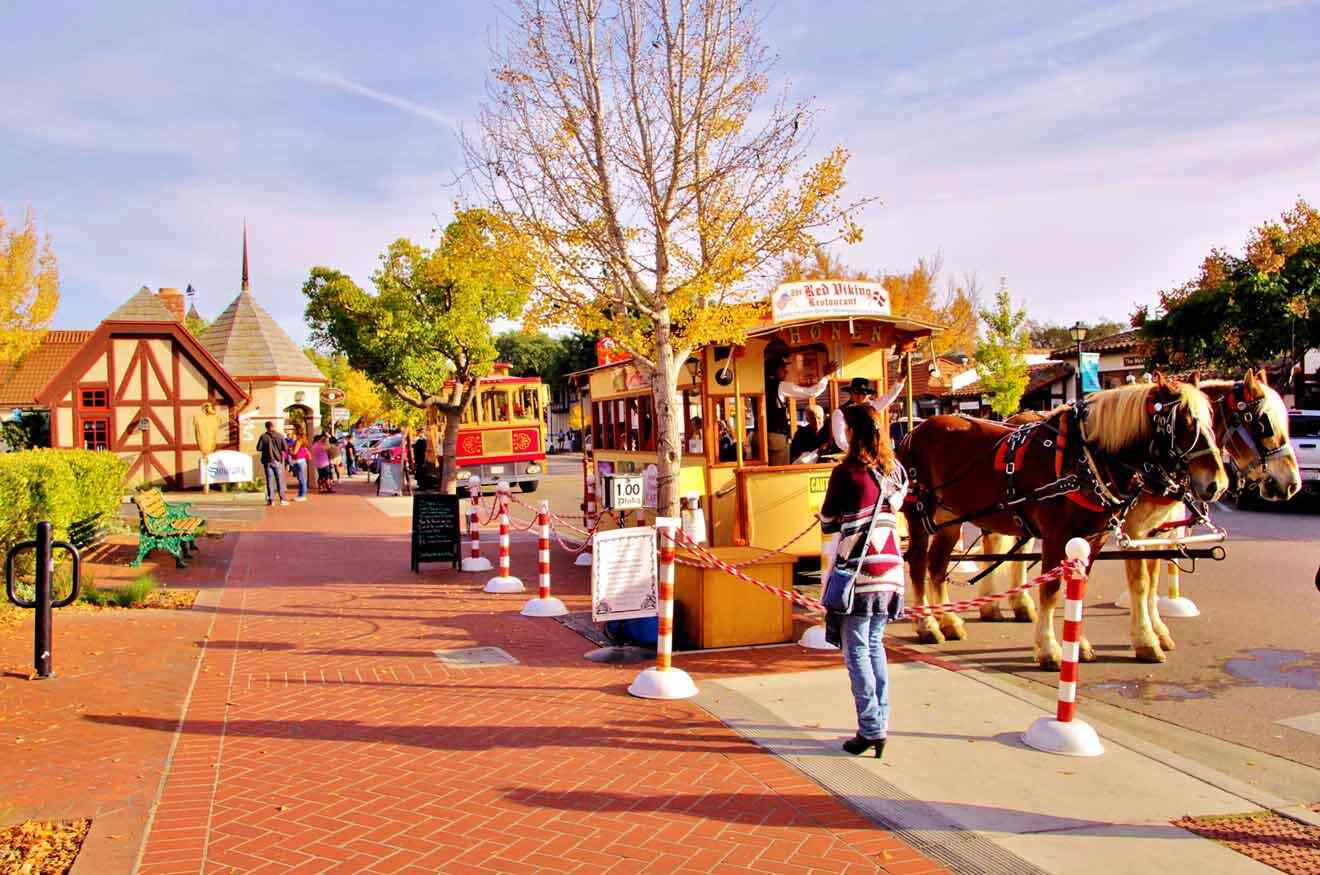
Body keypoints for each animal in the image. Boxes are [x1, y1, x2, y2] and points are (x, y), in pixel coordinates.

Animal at [908, 377, 1224, 670]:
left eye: (1212, 423)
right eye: (1185, 424)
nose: (1217, 484)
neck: (1085, 458)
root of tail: (915, 431)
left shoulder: (1097, 538)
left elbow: (1081, 588)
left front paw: (1079, 643)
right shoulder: (1059, 536)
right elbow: (1052, 591)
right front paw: (1050, 649)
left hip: (950, 520)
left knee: (937, 567)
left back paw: (948, 620)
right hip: (919, 515)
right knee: (918, 565)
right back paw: (927, 624)